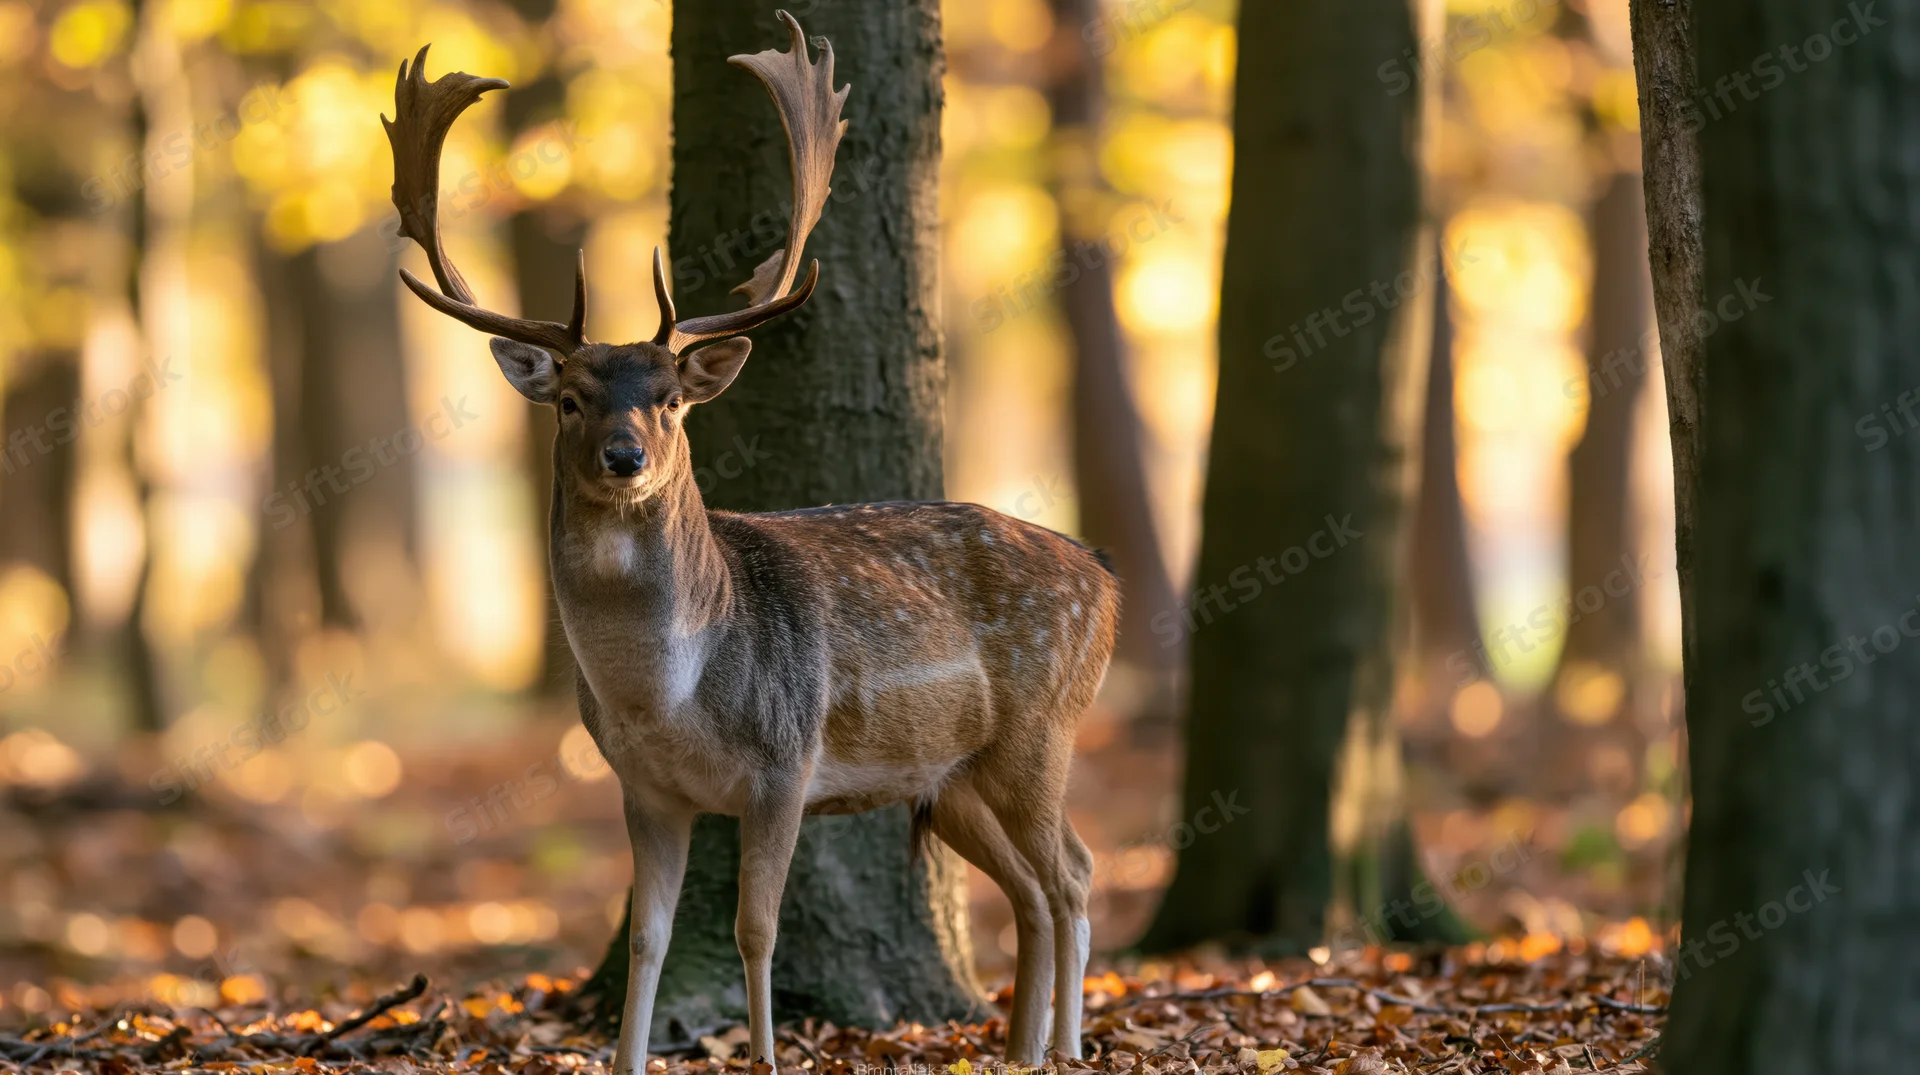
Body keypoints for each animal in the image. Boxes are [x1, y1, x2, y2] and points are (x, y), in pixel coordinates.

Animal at [383, 12, 1117, 1072]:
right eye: (571, 397)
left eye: (671, 399)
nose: (622, 456)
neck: (664, 694)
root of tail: (1103, 573)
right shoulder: (645, 786)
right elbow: (647, 936)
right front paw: (627, 1057)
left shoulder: (784, 758)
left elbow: (754, 928)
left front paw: (766, 1053)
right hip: (951, 774)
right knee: (1029, 885)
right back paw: (1017, 1047)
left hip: (1043, 726)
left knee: (1075, 872)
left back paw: (1064, 1046)